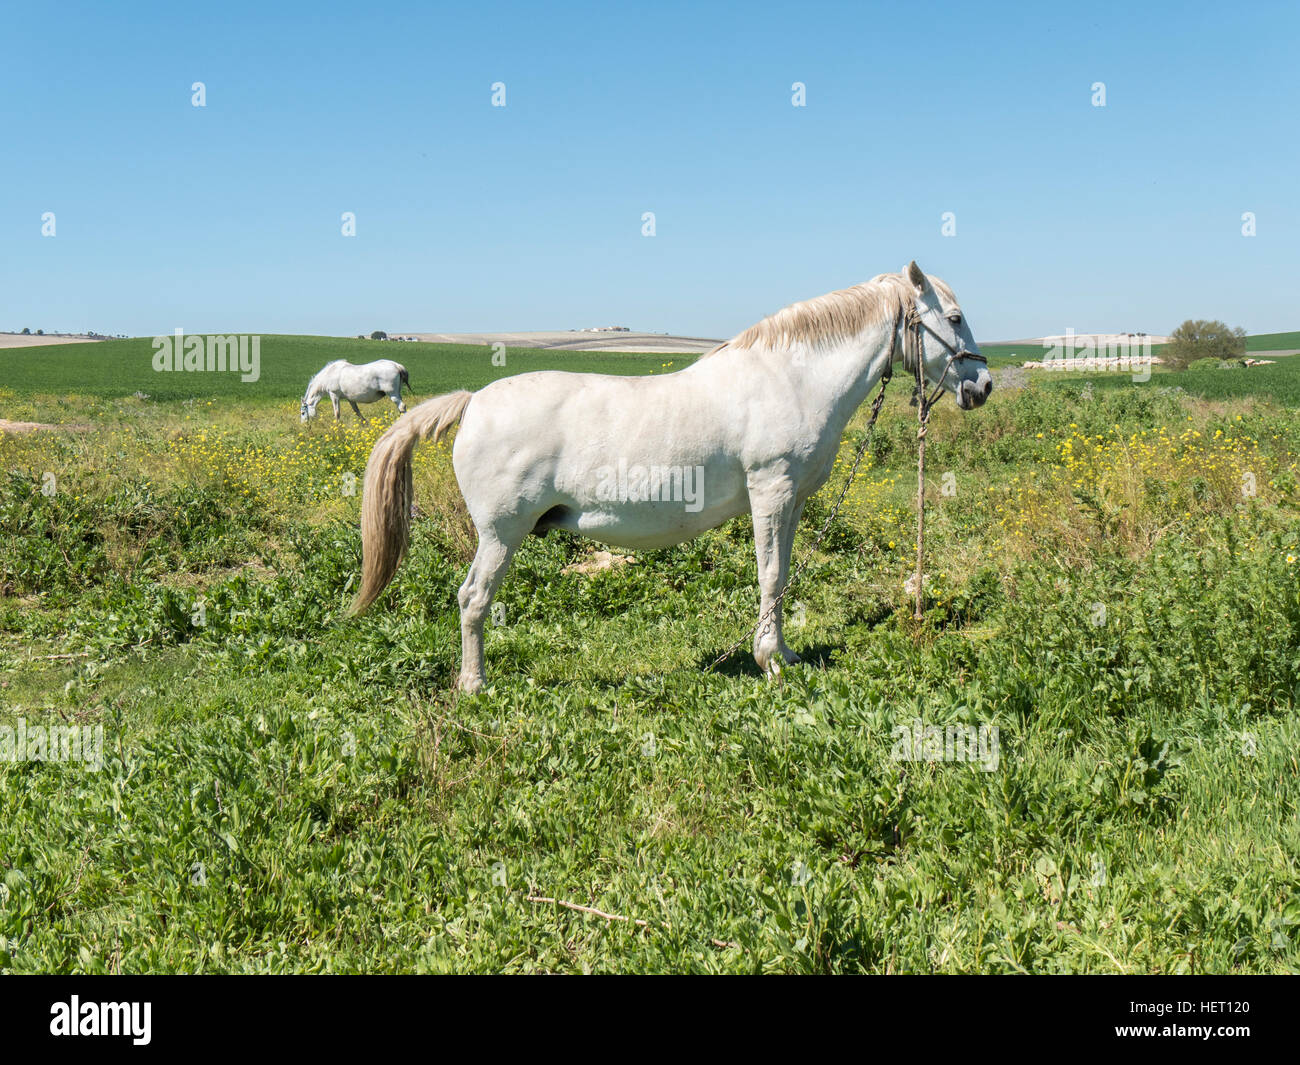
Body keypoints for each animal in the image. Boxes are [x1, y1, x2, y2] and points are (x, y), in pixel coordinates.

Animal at [350, 262, 993, 692]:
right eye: (955, 317)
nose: (982, 385)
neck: (791, 377)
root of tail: (473, 402)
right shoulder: (771, 491)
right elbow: (770, 576)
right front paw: (768, 661)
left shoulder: (791, 503)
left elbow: (781, 578)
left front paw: (783, 653)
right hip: (500, 535)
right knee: (473, 599)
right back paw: (475, 684)